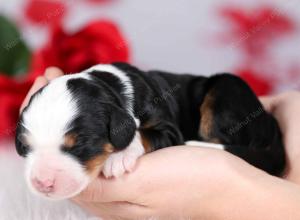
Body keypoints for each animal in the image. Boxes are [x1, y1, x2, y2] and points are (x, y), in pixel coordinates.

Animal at [14, 62, 286, 199]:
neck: (111, 85)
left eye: (80, 144)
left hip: (227, 88)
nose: (42, 183)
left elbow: (143, 133)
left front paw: (119, 157)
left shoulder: (170, 130)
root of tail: (270, 122)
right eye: (26, 146)